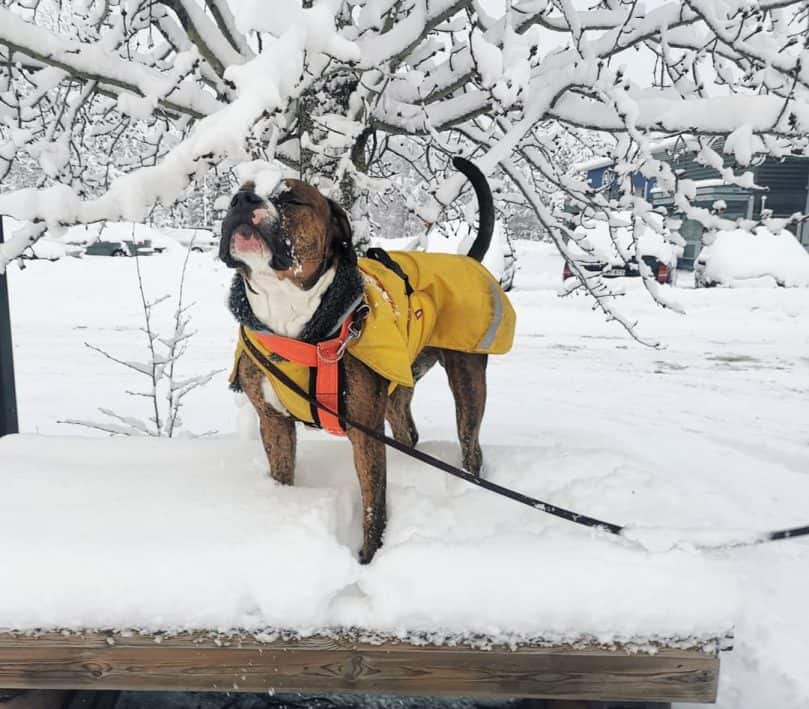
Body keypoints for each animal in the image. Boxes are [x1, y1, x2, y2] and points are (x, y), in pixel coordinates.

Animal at [221, 160, 498, 564]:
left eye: (291, 199)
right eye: (237, 193)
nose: (242, 202)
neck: (290, 311)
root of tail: (465, 258)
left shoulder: (364, 431)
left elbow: (373, 503)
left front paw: (369, 555)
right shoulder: (273, 422)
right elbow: (283, 472)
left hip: (468, 382)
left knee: (471, 443)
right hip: (399, 387)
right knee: (407, 430)